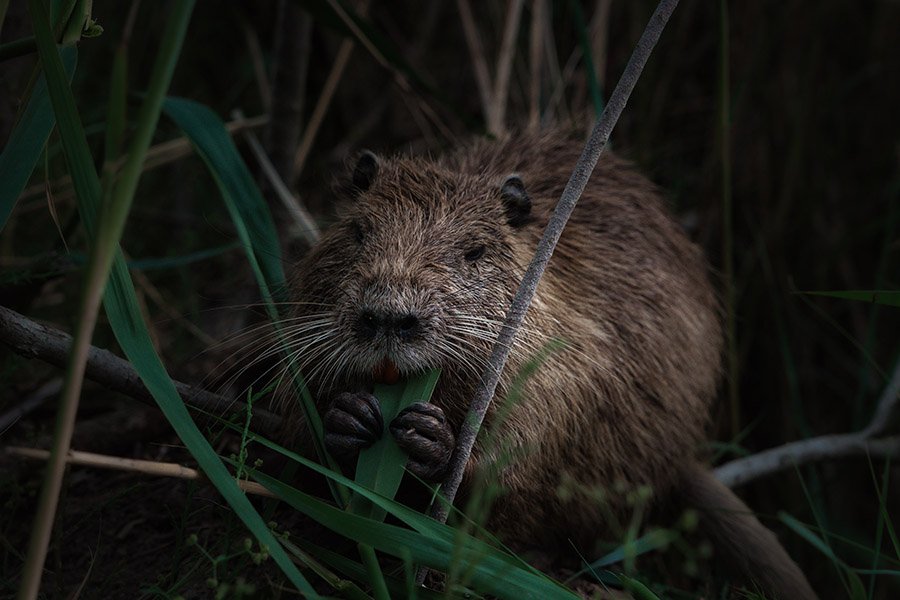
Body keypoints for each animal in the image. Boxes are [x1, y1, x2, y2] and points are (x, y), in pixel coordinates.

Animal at [284, 132, 820, 600]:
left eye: (474, 250)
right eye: (358, 231)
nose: (389, 318)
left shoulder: (567, 362)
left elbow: (519, 458)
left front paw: (432, 439)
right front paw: (347, 417)